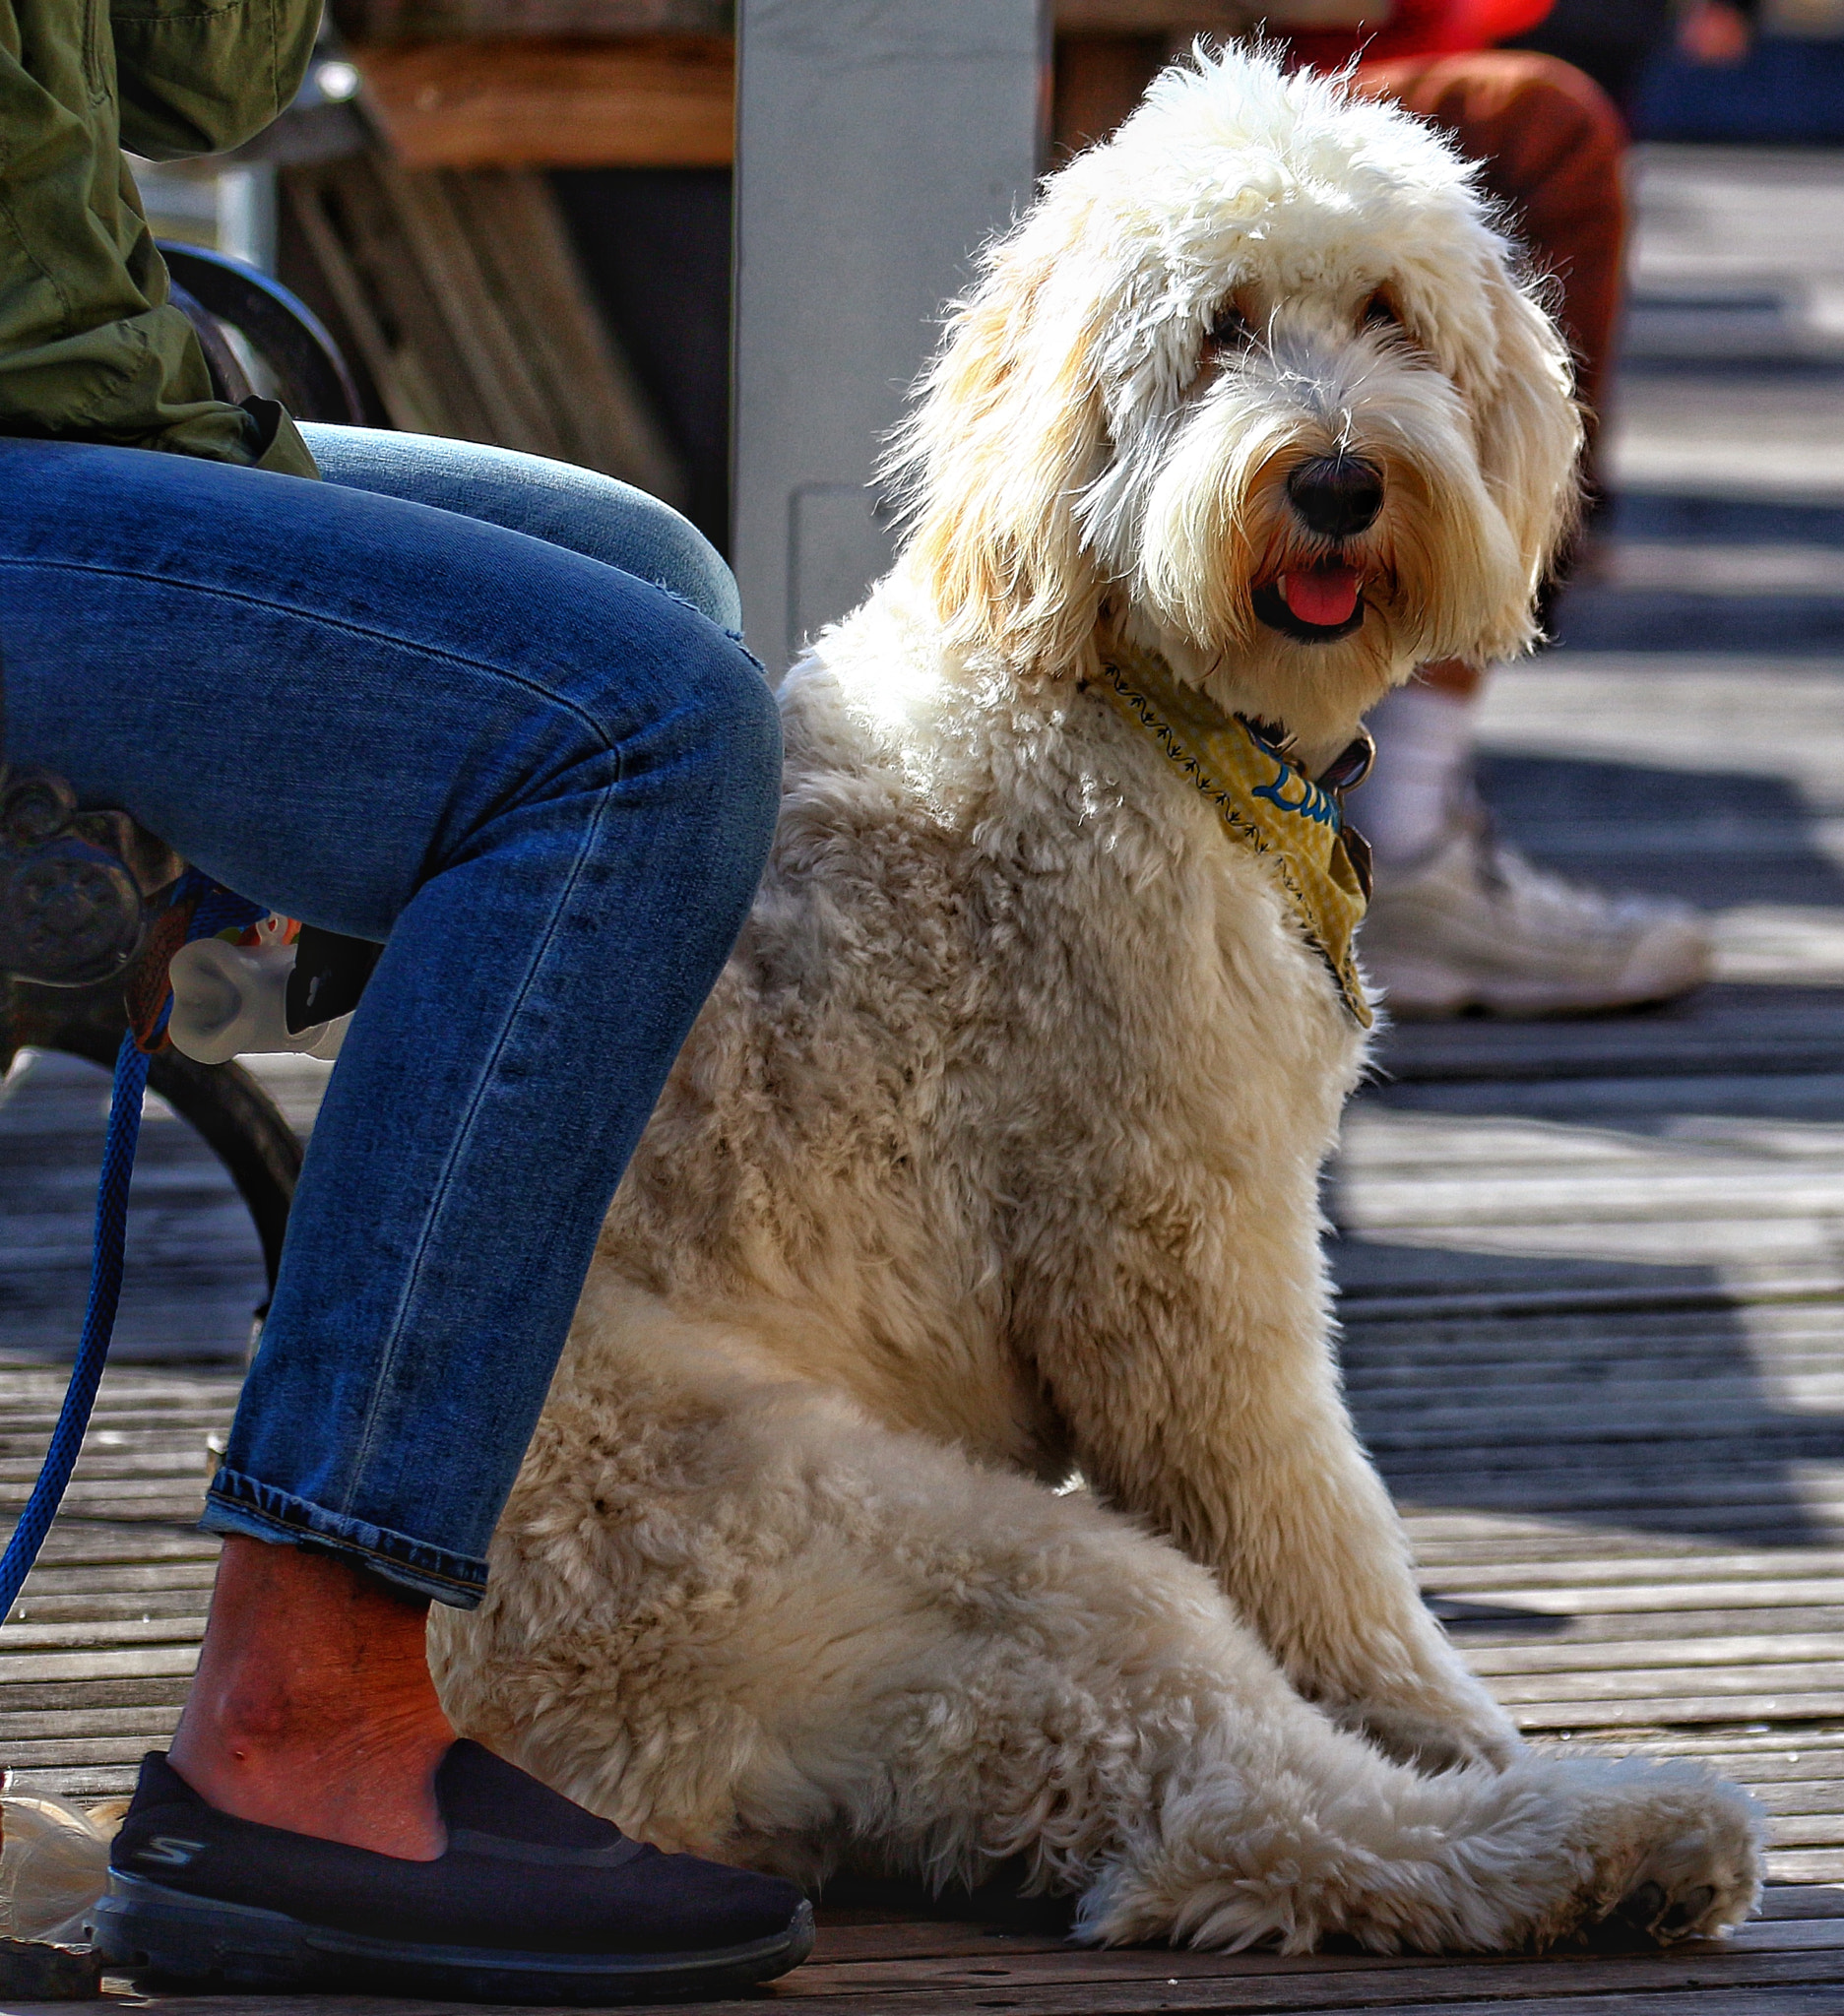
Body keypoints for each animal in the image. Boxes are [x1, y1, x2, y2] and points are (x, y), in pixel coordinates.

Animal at [429, 38, 1756, 1943]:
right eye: (1214, 327)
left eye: (1386, 313)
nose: (1335, 479)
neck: (1134, 697)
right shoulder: (1175, 1245)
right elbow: (1315, 1529)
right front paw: (1441, 1713)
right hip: (951, 1553)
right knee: (1240, 1819)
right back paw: (1611, 1834)